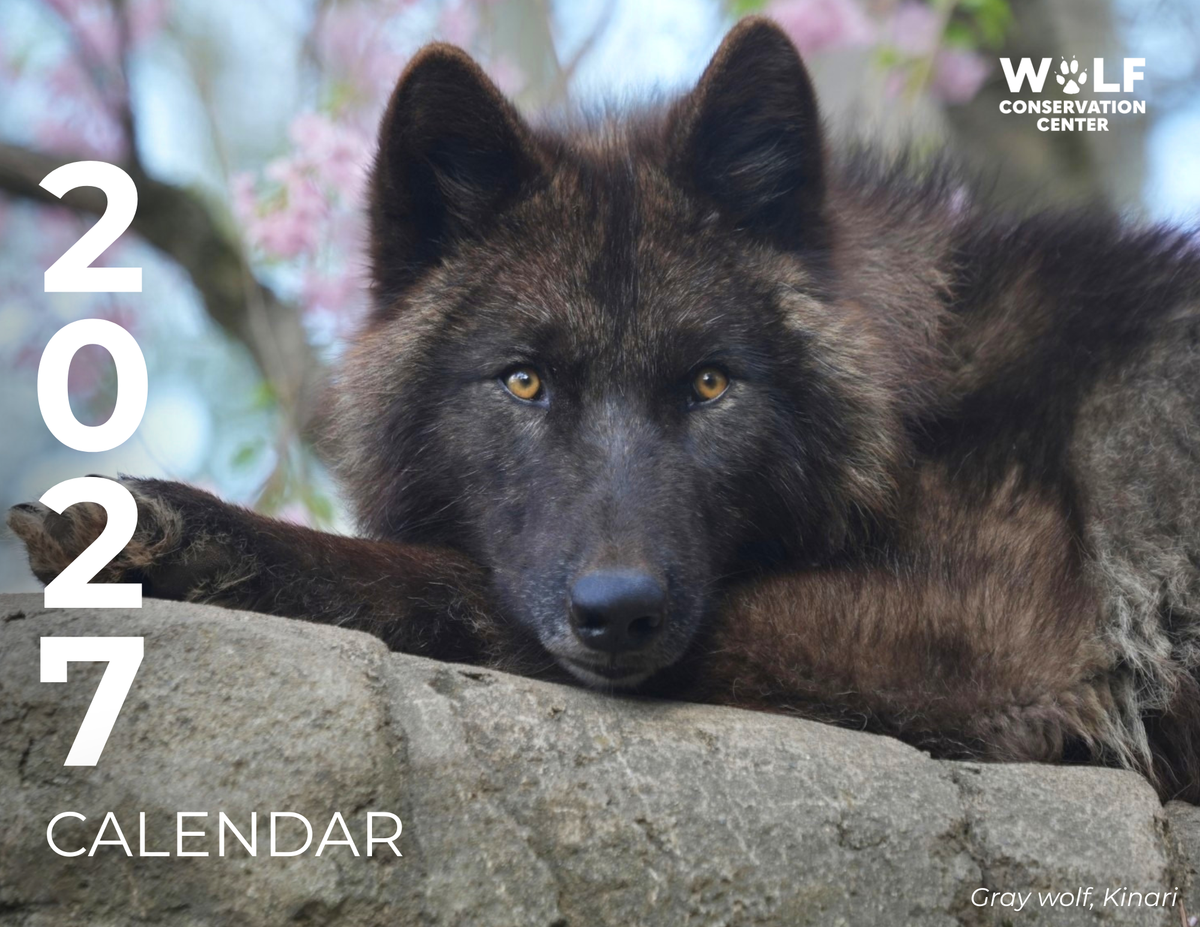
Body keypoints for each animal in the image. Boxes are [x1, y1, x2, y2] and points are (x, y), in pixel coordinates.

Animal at [10, 18, 1200, 800]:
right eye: (524, 380)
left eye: (710, 384)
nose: (619, 609)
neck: (919, 407)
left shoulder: (1008, 647)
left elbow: (440, 578)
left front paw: (191, 535)